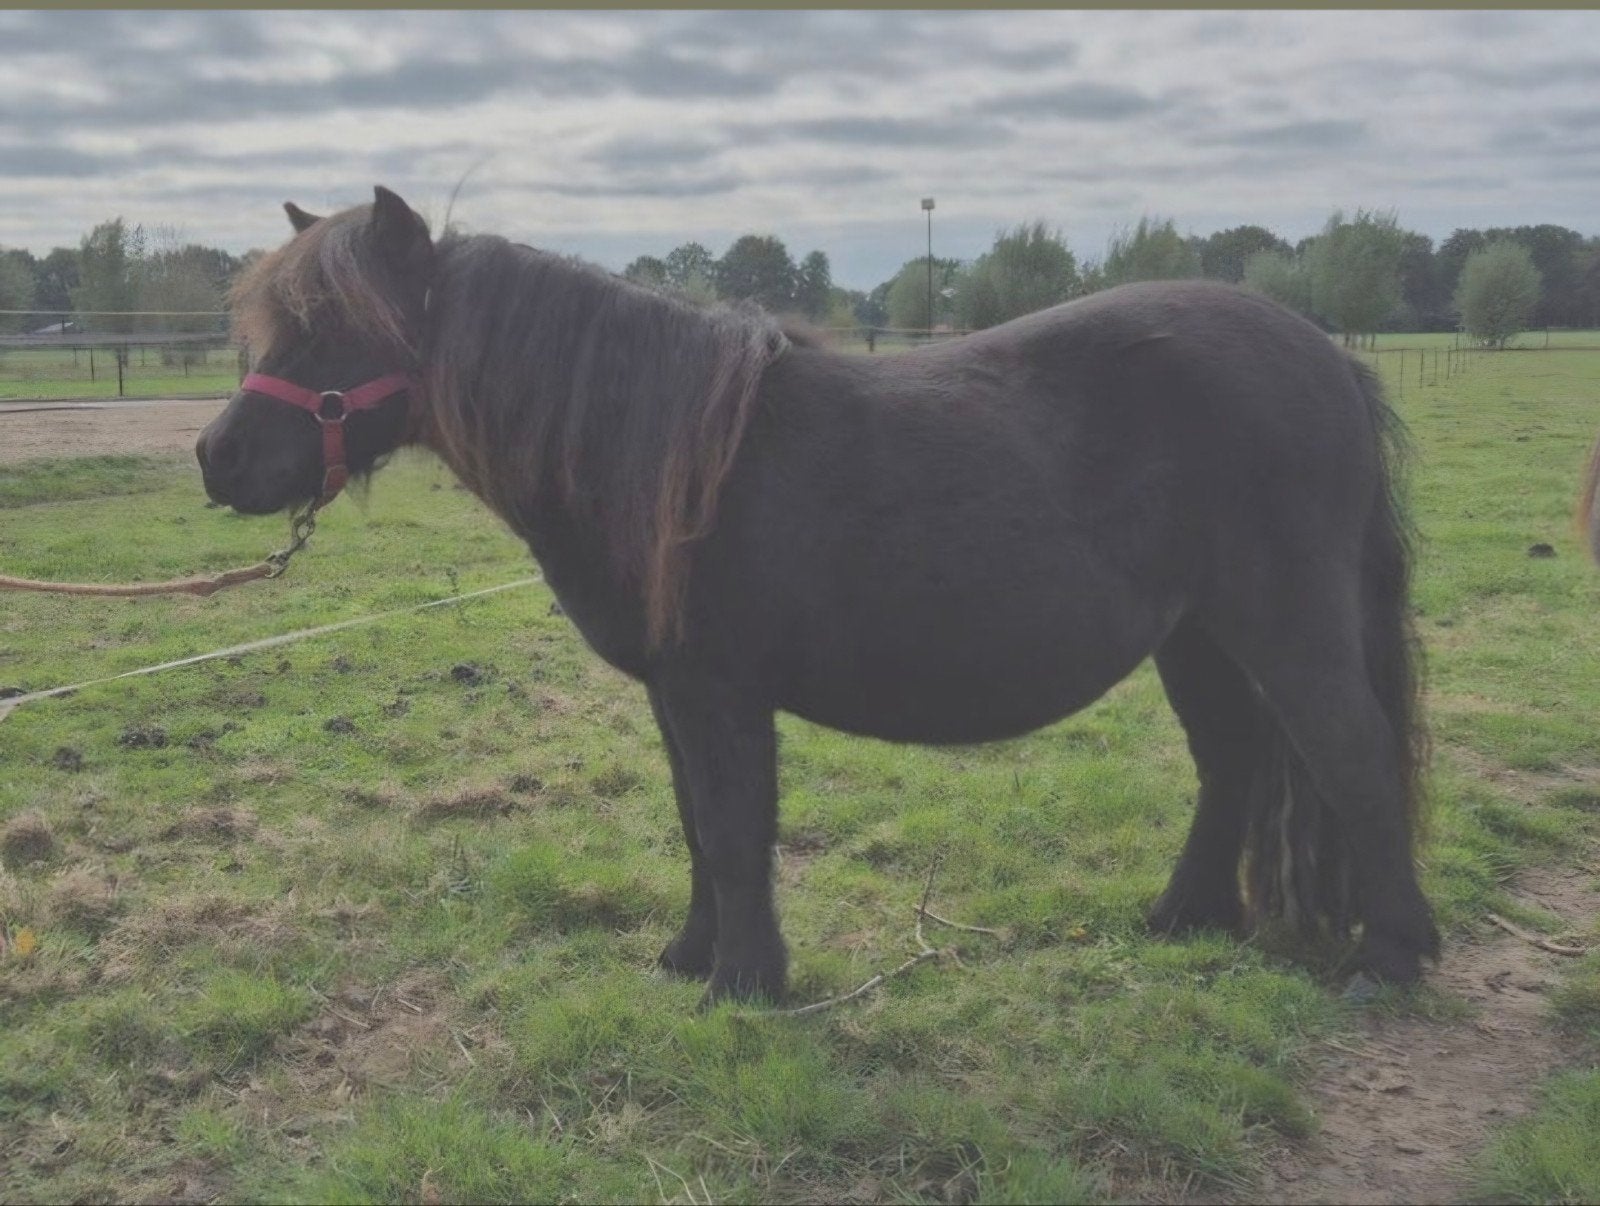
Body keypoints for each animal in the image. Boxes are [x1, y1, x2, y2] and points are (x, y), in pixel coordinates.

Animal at [197, 186, 1440, 1005]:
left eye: (336, 325)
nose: (218, 459)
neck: (660, 450)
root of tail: (1331, 357)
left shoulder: (720, 692)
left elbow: (735, 828)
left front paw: (745, 985)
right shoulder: (676, 696)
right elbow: (698, 826)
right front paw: (690, 960)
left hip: (1285, 629)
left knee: (1351, 757)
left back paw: (1390, 960)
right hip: (1198, 639)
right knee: (1234, 760)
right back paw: (1183, 920)